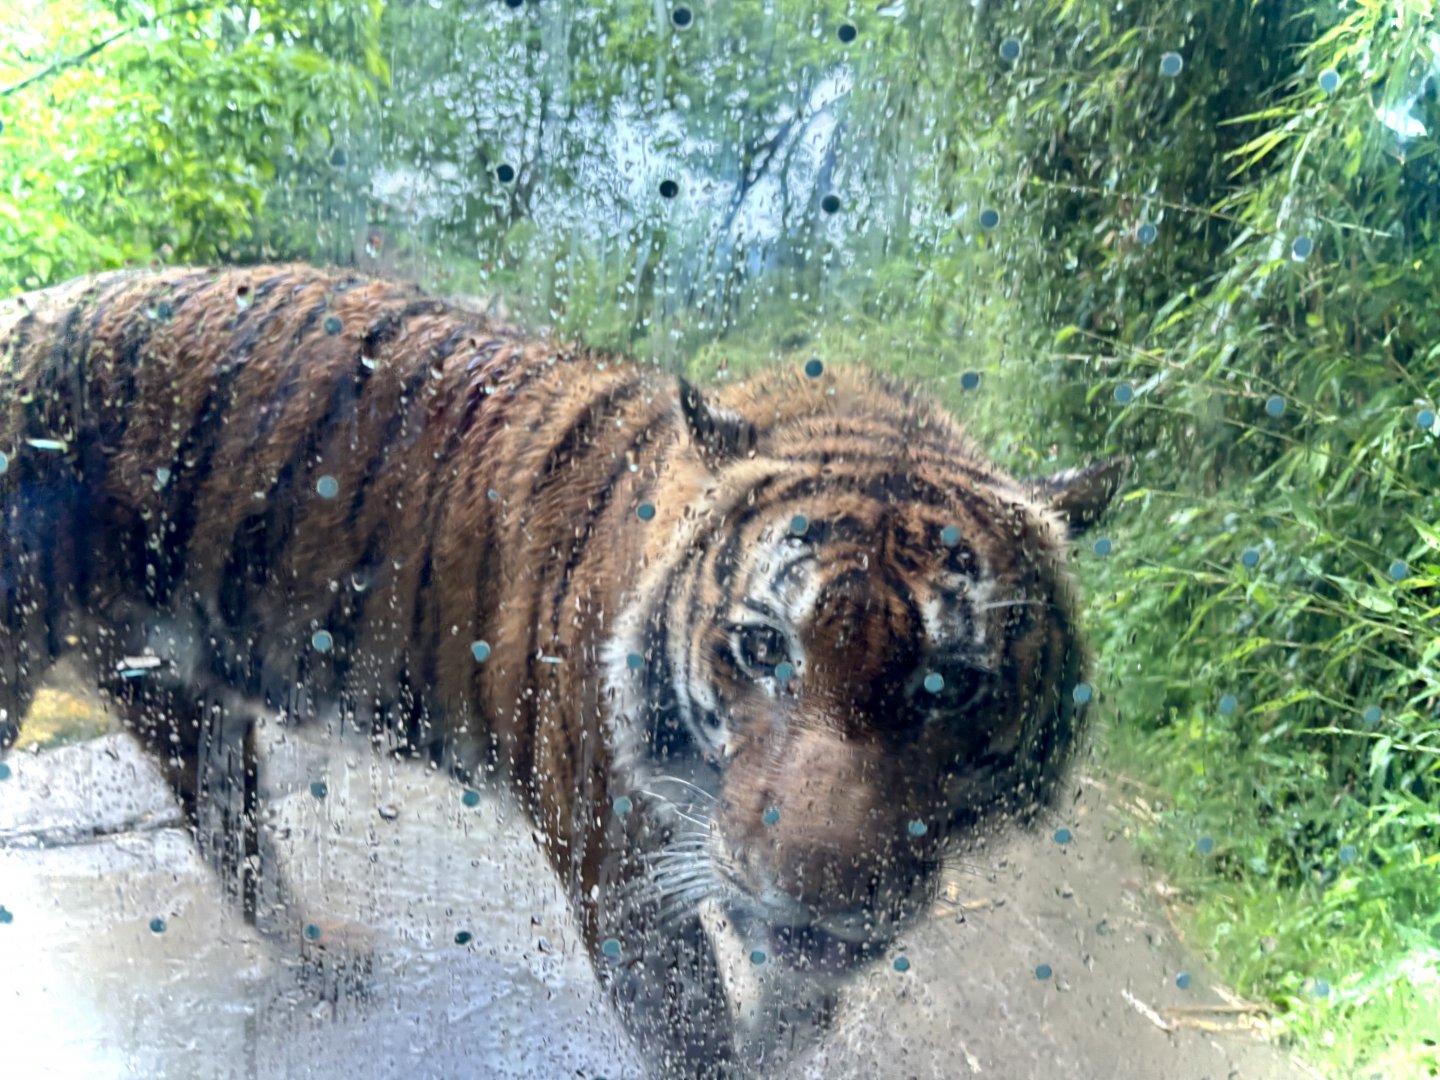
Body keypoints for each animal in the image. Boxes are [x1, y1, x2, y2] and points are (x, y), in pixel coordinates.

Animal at [0, 263, 1125, 1078]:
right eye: (764, 648)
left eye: (951, 685)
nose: (814, 902)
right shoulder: (617, 868)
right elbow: (696, 1030)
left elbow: (789, 1009)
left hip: (180, 701)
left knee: (228, 839)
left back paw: (329, 958)